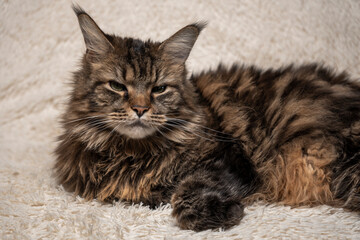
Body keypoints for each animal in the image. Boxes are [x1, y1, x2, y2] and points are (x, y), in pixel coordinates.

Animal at [54, 4, 360, 232]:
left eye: (159, 89)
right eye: (117, 86)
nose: (140, 109)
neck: (133, 153)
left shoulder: (232, 158)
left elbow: (187, 189)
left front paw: (227, 211)